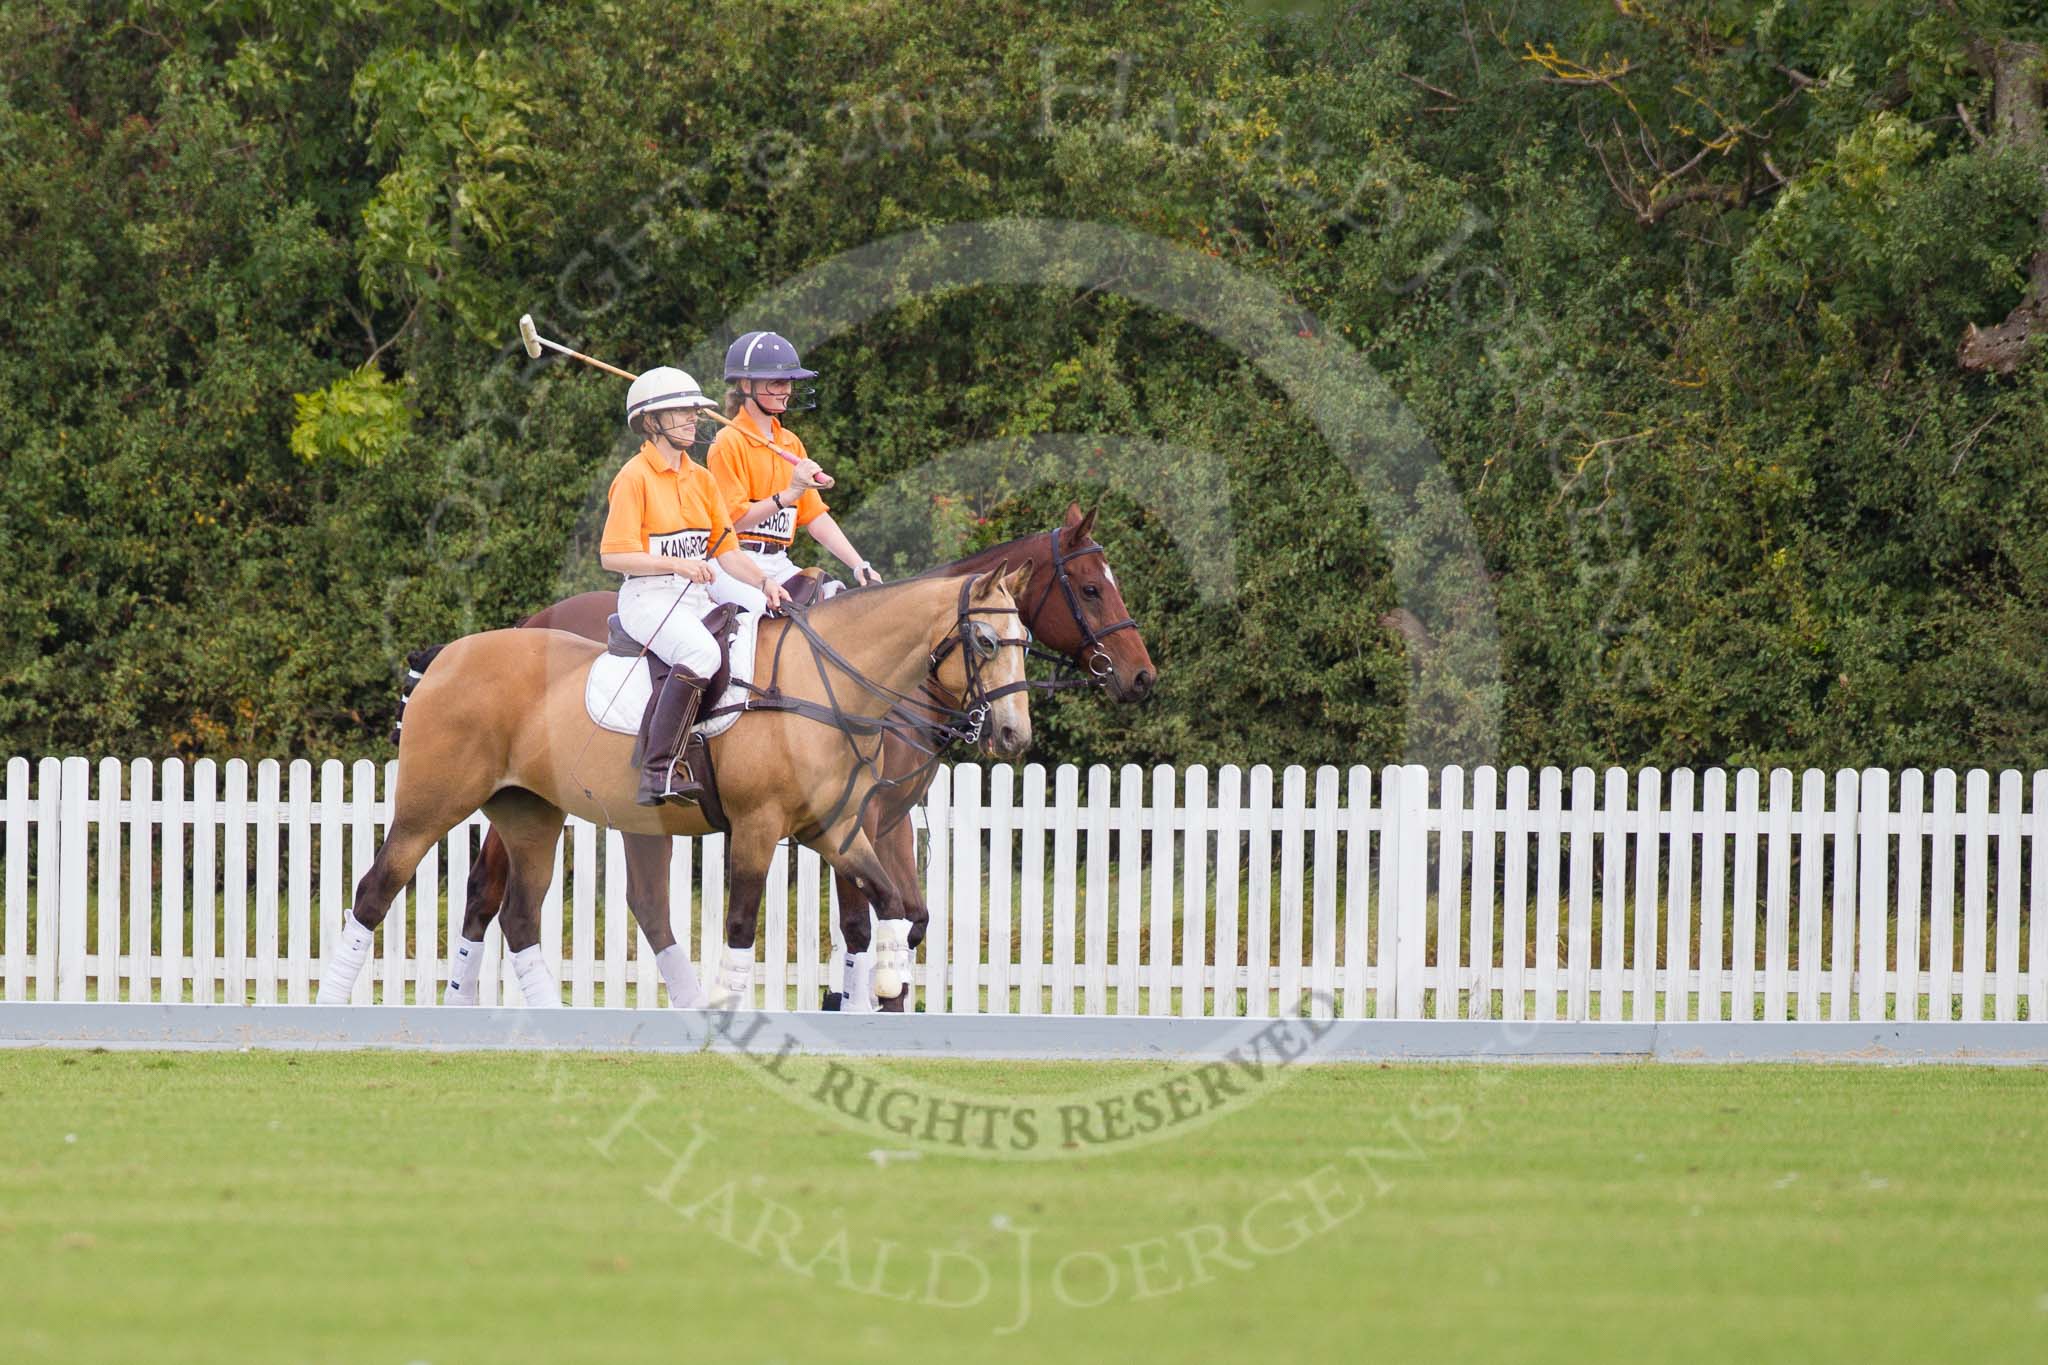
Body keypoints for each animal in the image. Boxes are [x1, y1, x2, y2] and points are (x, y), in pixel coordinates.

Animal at [321, 560, 1040, 1010]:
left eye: (1025, 639)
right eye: (983, 639)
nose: (1011, 733)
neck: (821, 683)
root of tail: (446, 655)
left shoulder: (833, 828)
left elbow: (892, 903)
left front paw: (887, 985)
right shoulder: (757, 826)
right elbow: (746, 921)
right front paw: (727, 1003)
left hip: (530, 814)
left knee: (520, 914)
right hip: (430, 805)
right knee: (376, 889)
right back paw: (331, 1005)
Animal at [448, 507, 1155, 1010]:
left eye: (1024, 637)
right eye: (1091, 589)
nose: (1141, 677)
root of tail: (527, 622)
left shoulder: (882, 821)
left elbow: (909, 916)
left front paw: (866, 993)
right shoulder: (857, 818)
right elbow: (861, 922)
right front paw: (851, 997)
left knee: (641, 902)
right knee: (486, 891)